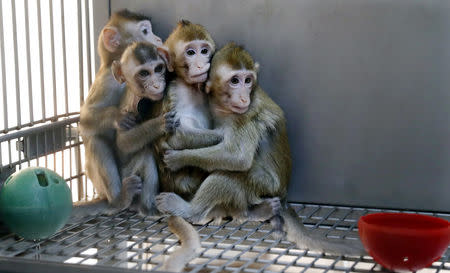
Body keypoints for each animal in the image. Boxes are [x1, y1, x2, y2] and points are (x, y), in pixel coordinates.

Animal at [74, 9, 163, 217]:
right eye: (145, 31)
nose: (158, 38)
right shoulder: (108, 81)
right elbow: (86, 118)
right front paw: (118, 117)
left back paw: (146, 207)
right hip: (107, 185)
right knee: (97, 142)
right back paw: (118, 199)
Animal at [156, 43, 368, 255]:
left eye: (248, 80)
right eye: (235, 81)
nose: (244, 98)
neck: (223, 108)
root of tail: (283, 194)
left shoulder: (246, 116)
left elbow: (237, 158)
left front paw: (179, 158)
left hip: (266, 184)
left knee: (230, 174)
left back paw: (191, 210)